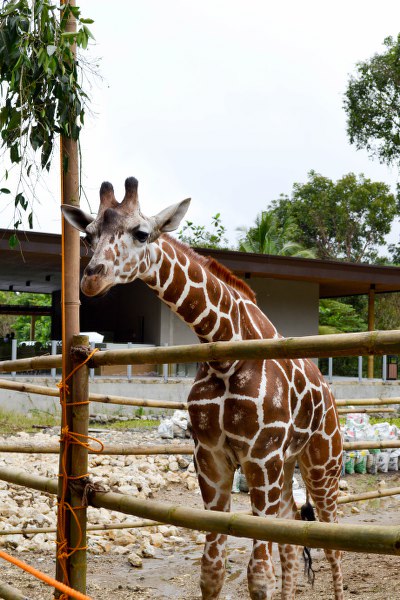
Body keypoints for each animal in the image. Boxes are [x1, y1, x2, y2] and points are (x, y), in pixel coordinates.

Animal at [61, 178, 344, 600]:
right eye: (88, 235)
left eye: (141, 233)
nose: (92, 278)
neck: (224, 349)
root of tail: (330, 396)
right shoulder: (211, 458)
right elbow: (211, 571)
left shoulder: (260, 457)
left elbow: (259, 576)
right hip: (287, 463)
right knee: (292, 533)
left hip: (322, 463)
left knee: (333, 545)